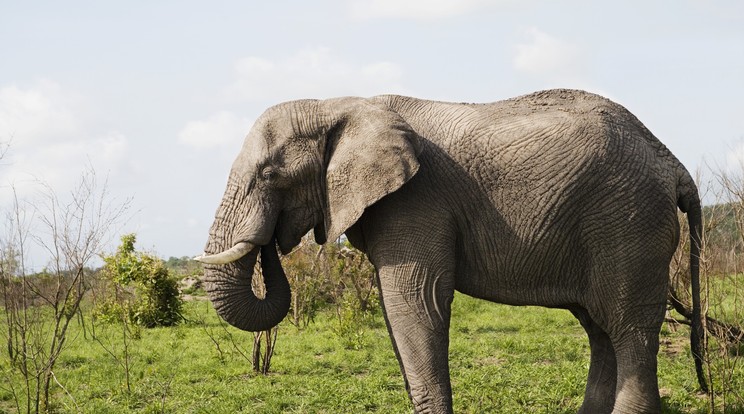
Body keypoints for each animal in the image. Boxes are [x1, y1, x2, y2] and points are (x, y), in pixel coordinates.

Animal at [196, 90, 704, 414]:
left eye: (269, 175)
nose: (272, 242)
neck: (340, 104)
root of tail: (672, 162)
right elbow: (397, 306)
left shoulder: (417, 199)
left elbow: (415, 299)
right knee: (600, 329)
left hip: (629, 224)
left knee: (628, 328)